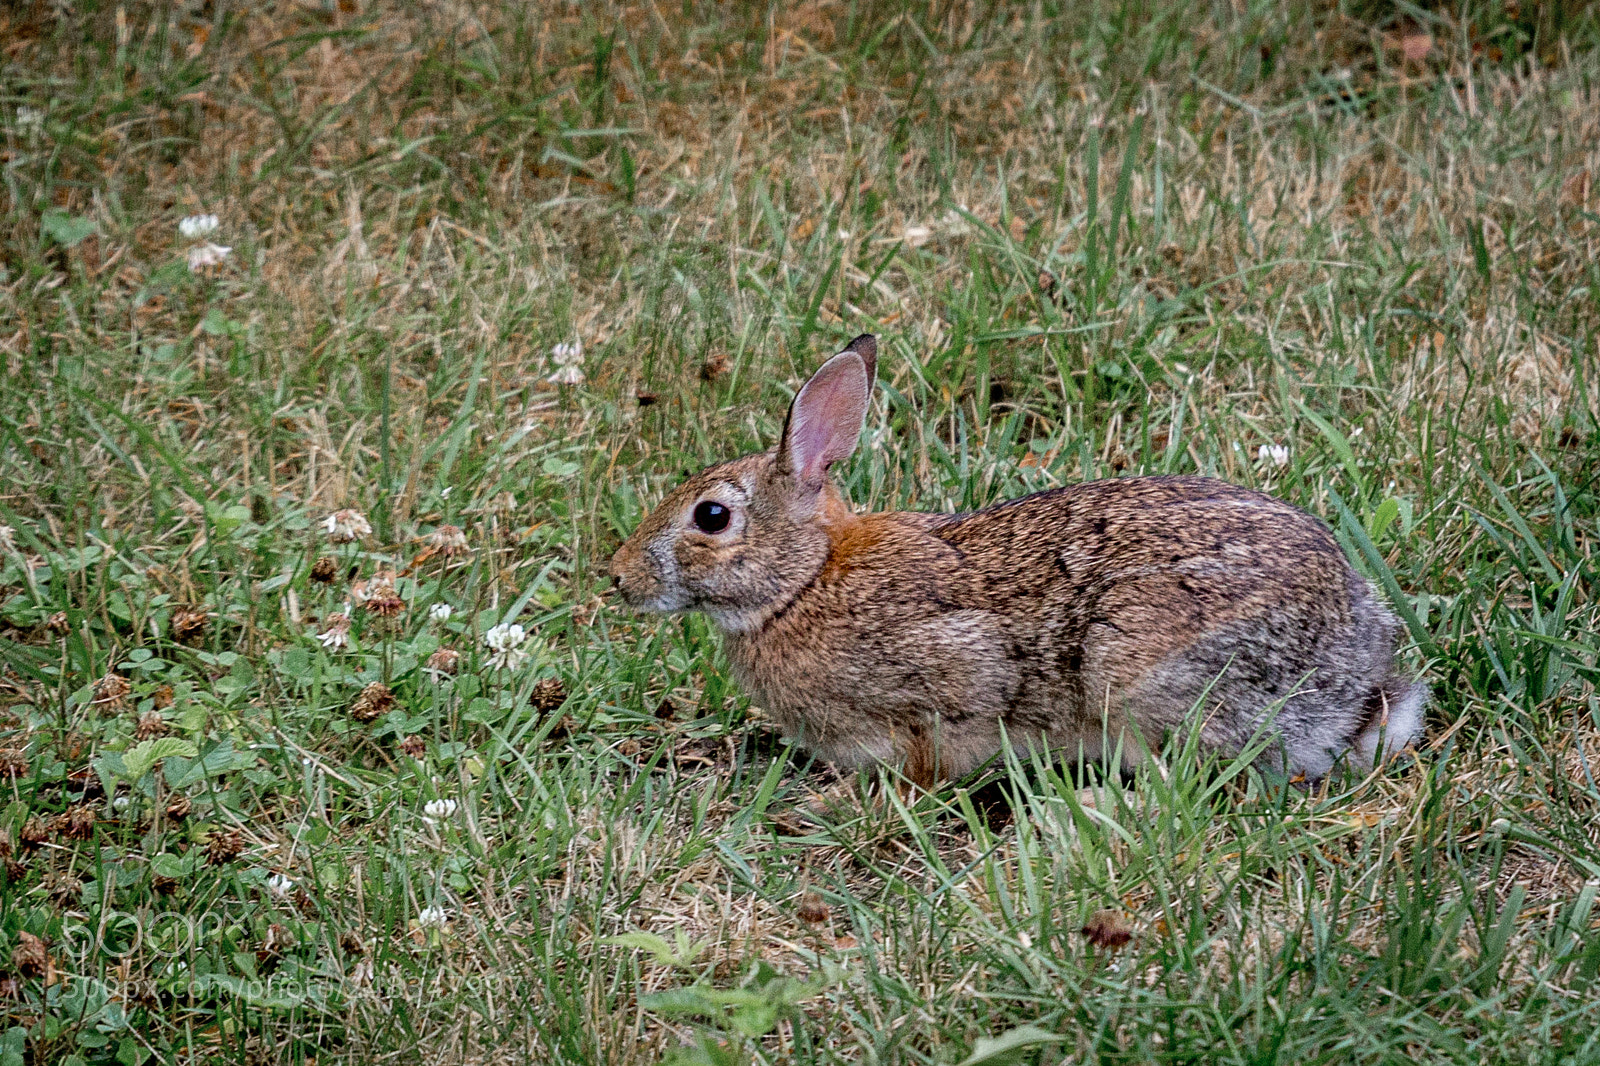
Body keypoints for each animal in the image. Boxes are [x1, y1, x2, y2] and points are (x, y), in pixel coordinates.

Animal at [609, 334, 1427, 787]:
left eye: (711, 517)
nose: (617, 577)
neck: (803, 581)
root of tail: (1353, 678)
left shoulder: (950, 676)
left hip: (1141, 673)